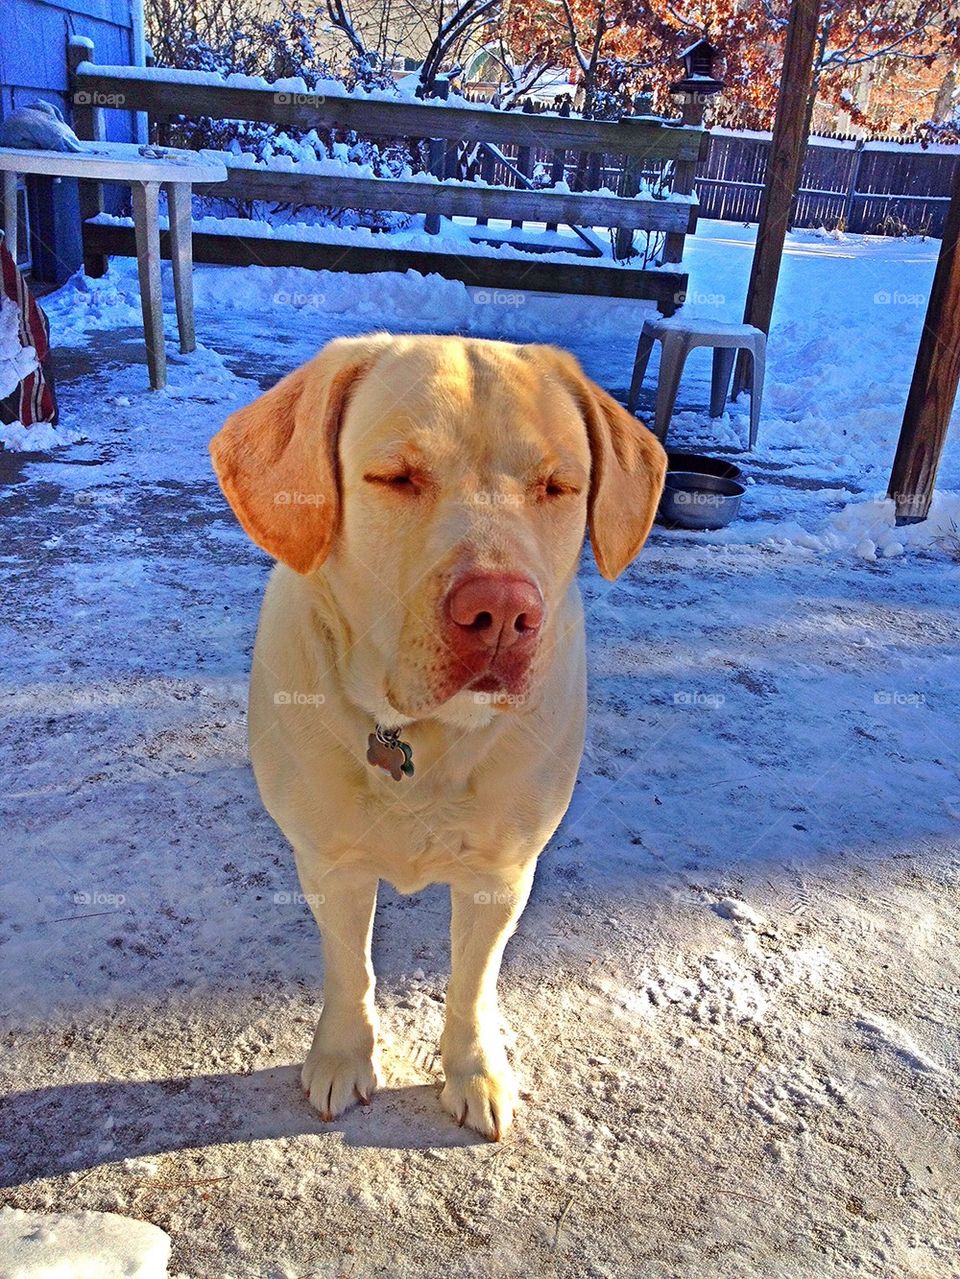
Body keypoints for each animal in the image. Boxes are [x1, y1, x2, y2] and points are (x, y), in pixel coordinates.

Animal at [208, 332, 669, 1140]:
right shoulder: (331, 865)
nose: (503, 612)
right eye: (397, 476)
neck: (424, 736)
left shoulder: (501, 874)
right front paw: (343, 1056)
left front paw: (475, 1070)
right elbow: (350, 969)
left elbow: (471, 984)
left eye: (558, 486)